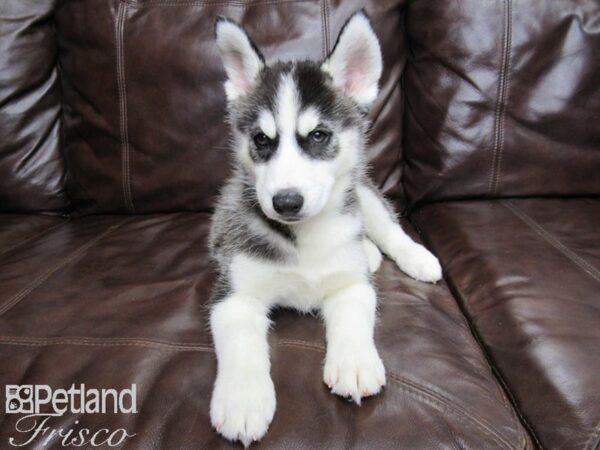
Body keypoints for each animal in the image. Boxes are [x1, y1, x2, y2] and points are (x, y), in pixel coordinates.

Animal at [210, 10, 440, 446]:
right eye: (261, 140)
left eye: (318, 135)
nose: (285, 202)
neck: (305, 239)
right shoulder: (234, 295)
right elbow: (242, 343)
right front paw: (243, 398)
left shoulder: (352, 285)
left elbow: (353, 316)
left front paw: (354, 361)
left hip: (363, 193)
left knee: (388, 229)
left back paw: (418, 258)